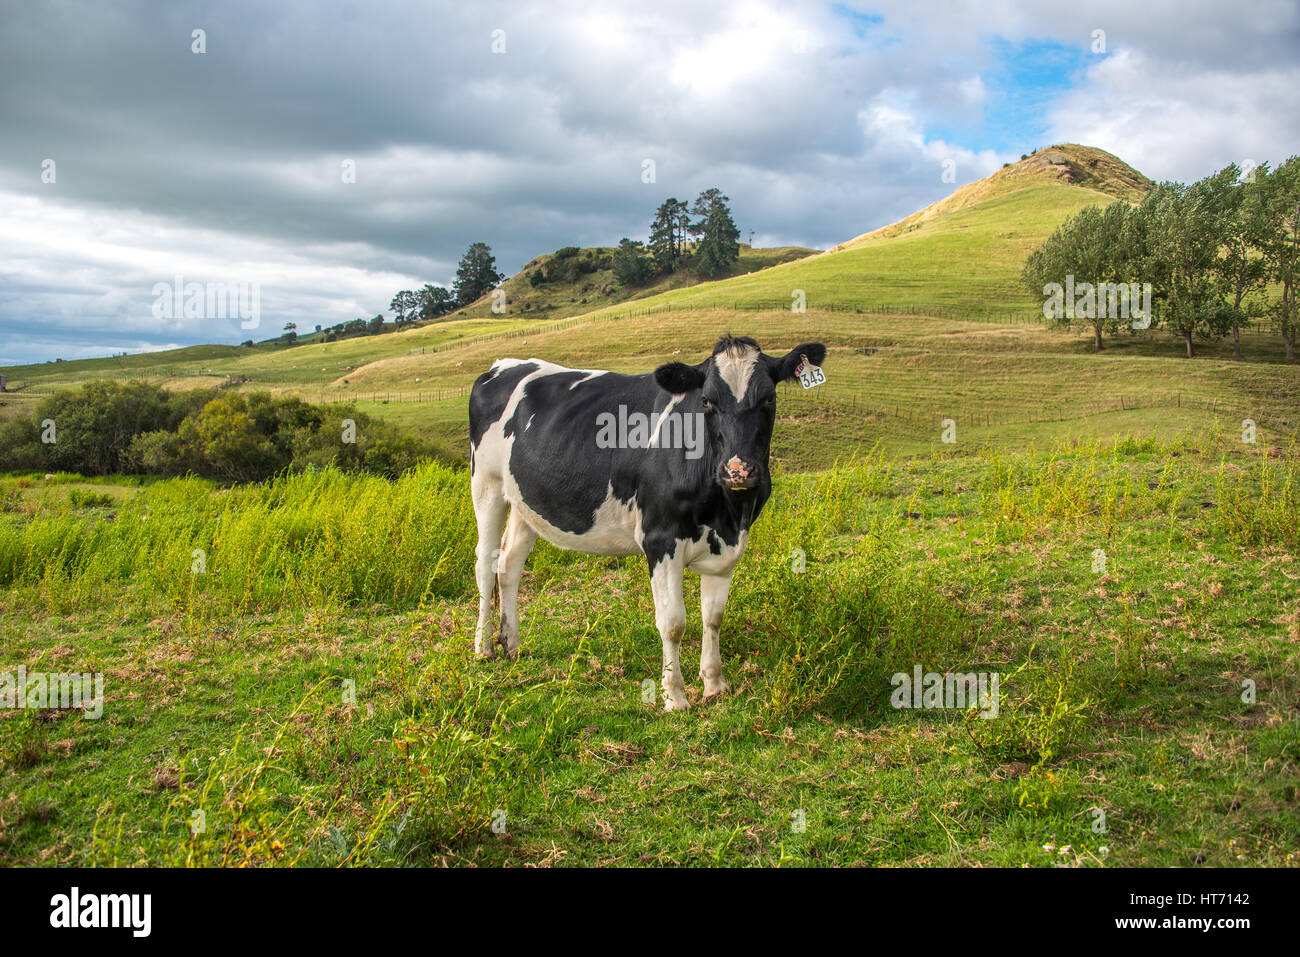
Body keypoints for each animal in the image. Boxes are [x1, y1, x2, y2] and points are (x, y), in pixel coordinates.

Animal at [467, 335, 827, 712]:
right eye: (707, 401)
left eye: (769, 398)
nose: (739, 471)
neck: (726, 512)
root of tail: (504, 365)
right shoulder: (660, 539)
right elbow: (673, 623)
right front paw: (675, 697)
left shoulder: (727, 546)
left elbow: (713, 617)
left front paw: (715, 685)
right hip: (486, 484)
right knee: (485, 563)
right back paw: (483, 647)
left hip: (525, 500)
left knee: (509, 565)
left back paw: (512, 644)